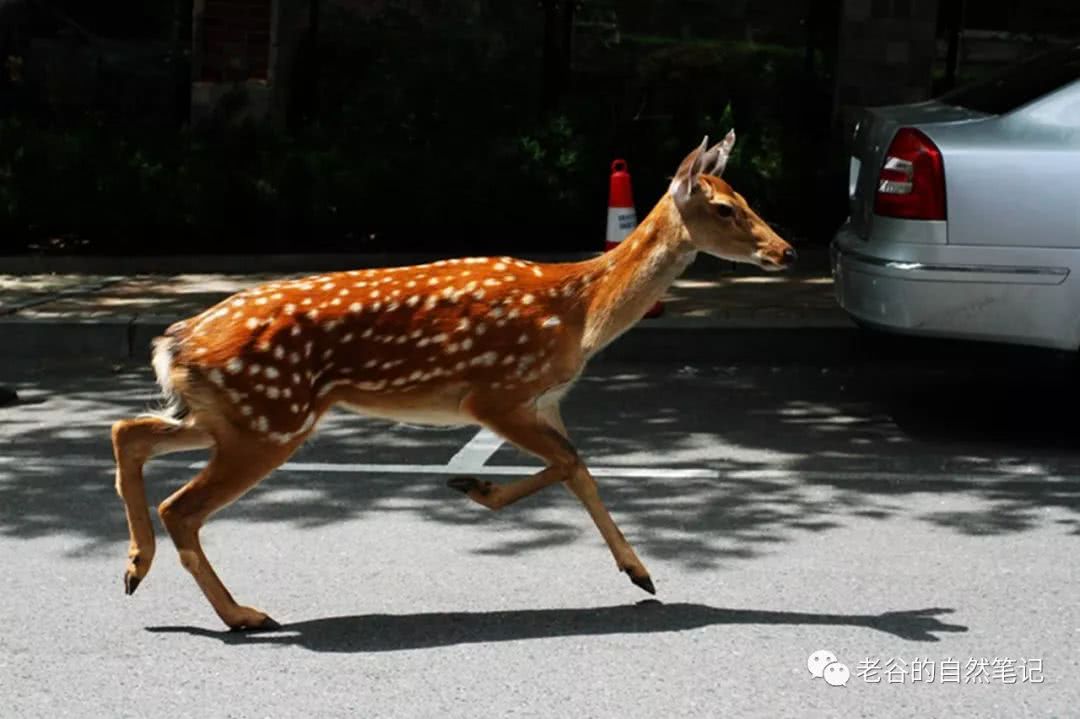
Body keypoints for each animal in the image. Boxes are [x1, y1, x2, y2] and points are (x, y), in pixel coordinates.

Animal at [113, 132, 799, 626]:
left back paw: (136, 567)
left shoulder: (546, 399)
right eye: (724, 208)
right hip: (270, 419)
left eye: (747, 199)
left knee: (129, 431)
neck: (580, 316)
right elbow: (571, 463)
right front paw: (480, 489)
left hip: (230, 414)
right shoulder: (494, 392)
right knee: (181, 505)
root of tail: (173, 342)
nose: (785, 251)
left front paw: (637, 570)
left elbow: (577, 467)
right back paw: (242, 614)